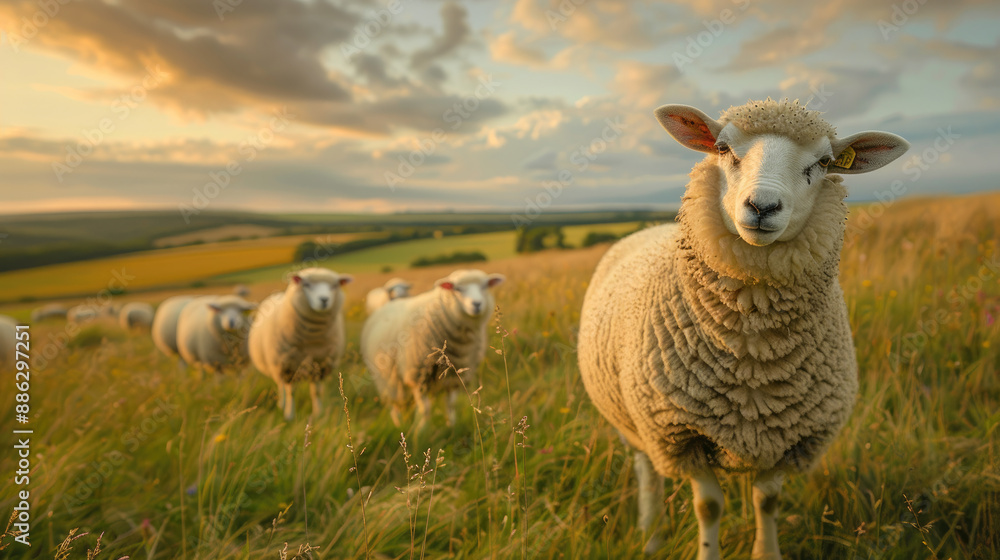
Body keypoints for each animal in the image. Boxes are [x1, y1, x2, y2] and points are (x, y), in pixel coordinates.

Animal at [248, 267, 352, 421]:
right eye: (307, 285)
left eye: (334, 286)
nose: (324, 300)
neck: (312, 339)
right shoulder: (288, 366)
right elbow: (291, 392)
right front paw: (289, 415)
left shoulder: (320, 365)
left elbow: (316, 392)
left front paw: (318, 414)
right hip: (277, 364)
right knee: (281, 387)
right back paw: (281, 404)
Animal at [361, 269, 504, 426]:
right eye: (458, 289)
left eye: (485, 286)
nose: (477, 304)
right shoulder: (418, 375)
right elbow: (425, 410)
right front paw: (422, 429)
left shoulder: (454, 376)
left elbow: (450, 405)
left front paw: (451, 425)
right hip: (386, 379)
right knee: (395, 405)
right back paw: (398, 424)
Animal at [577, 99, 909, 559]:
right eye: (722, 148)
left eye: (824, 162)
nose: (763, 206)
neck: (753, 356)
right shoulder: (682, 435)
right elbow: (709, 506)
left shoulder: (792, 438)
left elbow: (766, 501)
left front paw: (766, 552)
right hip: (635, 424)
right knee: (647, 469)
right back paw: (652, 533)